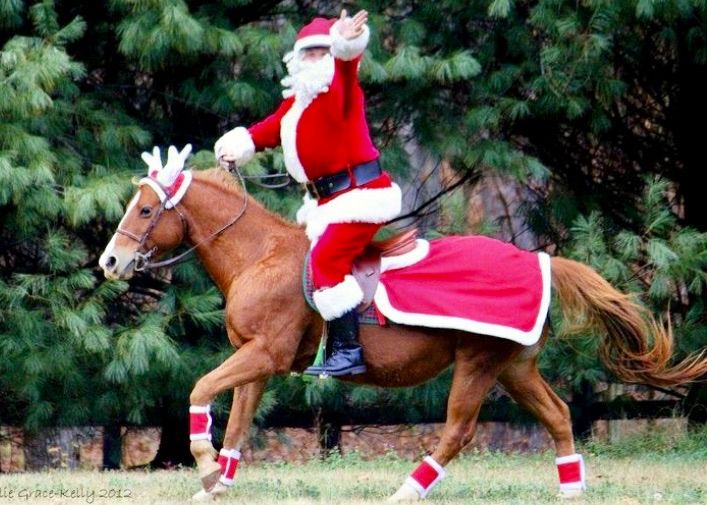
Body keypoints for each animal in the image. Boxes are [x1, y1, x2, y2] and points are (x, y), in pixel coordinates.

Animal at [98, 165, 707, 500]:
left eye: (147, 210)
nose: (110, 261)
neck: (260, 255)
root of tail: (540, 260)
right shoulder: (255, 359)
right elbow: (239, 423)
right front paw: (217, 482)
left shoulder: (264, 354)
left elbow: (201, 390)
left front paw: (202, 462)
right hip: (513, 366)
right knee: (558, 416)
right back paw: (571, 491)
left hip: (478, 363)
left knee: (457, 431)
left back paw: (404, 492)